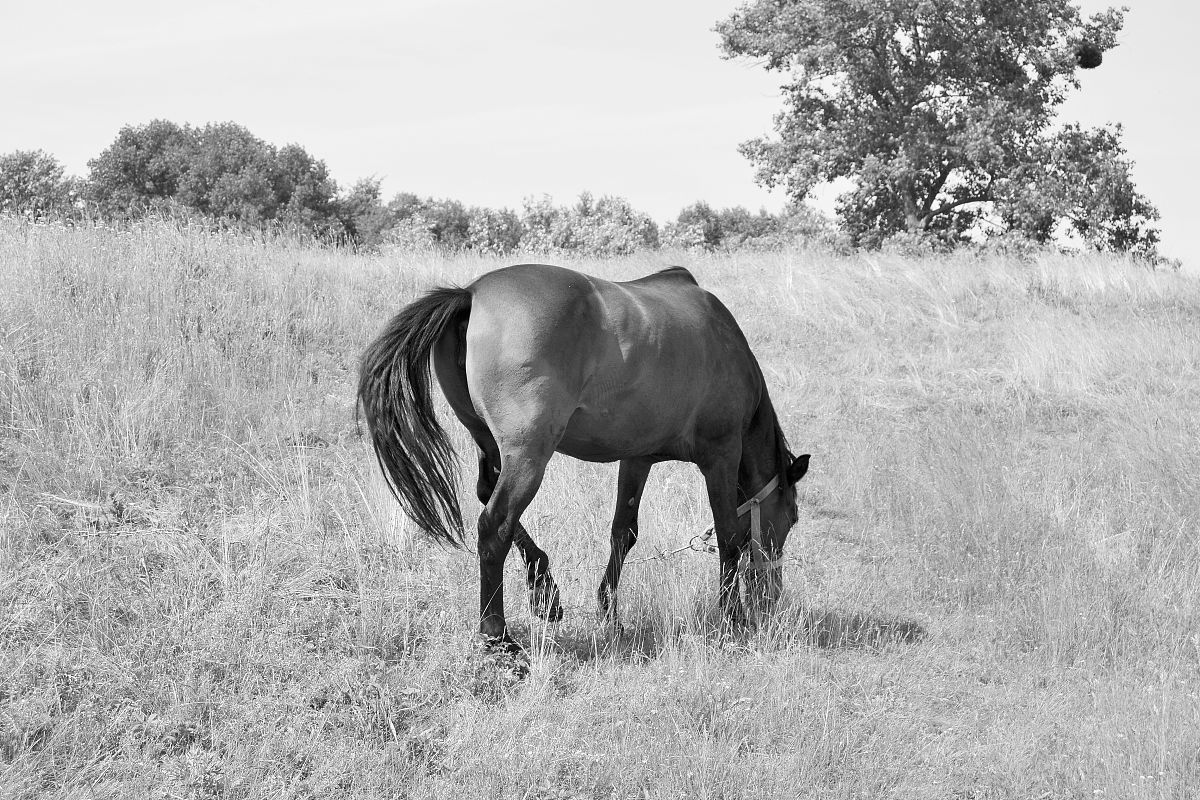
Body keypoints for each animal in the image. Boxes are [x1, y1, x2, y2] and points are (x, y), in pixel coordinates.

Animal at [357, 263, 809, 652]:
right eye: (791, 517)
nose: (771, 597)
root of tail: (470, 294)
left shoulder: (637, 458)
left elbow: (624, 532)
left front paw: (610, 613)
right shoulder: (721, 454)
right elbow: (730, 534)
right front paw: (735, 620)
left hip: (491, 445)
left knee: (489, 497)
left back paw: (545, 589)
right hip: (528, 456)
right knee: (495, 525)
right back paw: (497, 634)